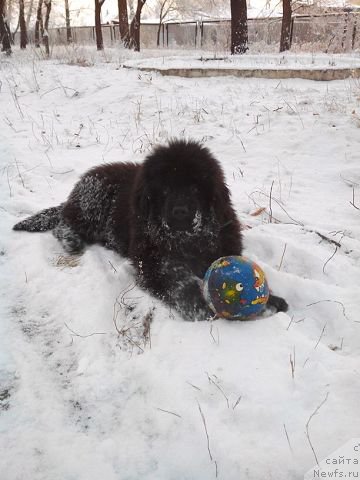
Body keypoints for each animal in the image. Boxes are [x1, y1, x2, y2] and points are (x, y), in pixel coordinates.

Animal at [14, 138, 288, 318]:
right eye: (164, 189)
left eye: (195, 188)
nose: (180, 212)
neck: (188, 238)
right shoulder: (152, 260)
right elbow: (177, 279)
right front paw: (197, 304)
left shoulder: (222, 245)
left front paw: (271, 300)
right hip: (91, 207)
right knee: (64, 223)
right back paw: (72, 241)